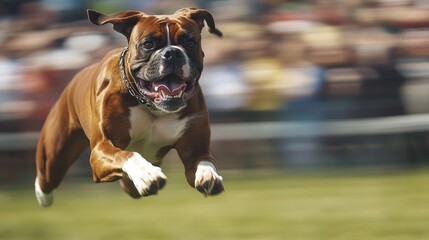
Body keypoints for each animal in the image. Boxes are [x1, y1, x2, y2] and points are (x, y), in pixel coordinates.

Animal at [34, 7, 224, 206]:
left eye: (190, 42)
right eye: (148, 44)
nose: (172, 53)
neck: (150, 106)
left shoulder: (196, 152)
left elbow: (205, 161)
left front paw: (209, 176)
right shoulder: (101, 149)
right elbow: (127, 155)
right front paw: (147, 174)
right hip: (53, 156)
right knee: (46, 179)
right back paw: (42, 195)